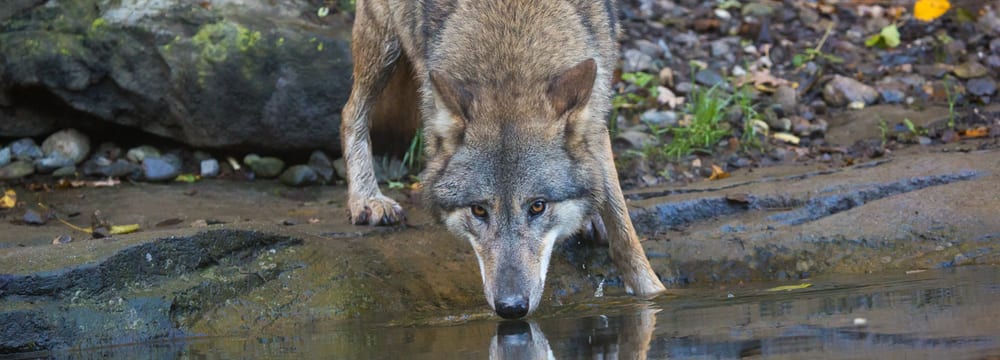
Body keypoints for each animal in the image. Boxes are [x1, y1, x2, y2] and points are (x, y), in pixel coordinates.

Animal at [340, 0, 668, 318]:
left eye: (538, 206)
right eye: (478, 210)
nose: (511, 307)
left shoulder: (597, 117)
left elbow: (622, 225)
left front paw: (652, 292)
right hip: (383, 39)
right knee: (351, 111)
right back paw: (367, 198)